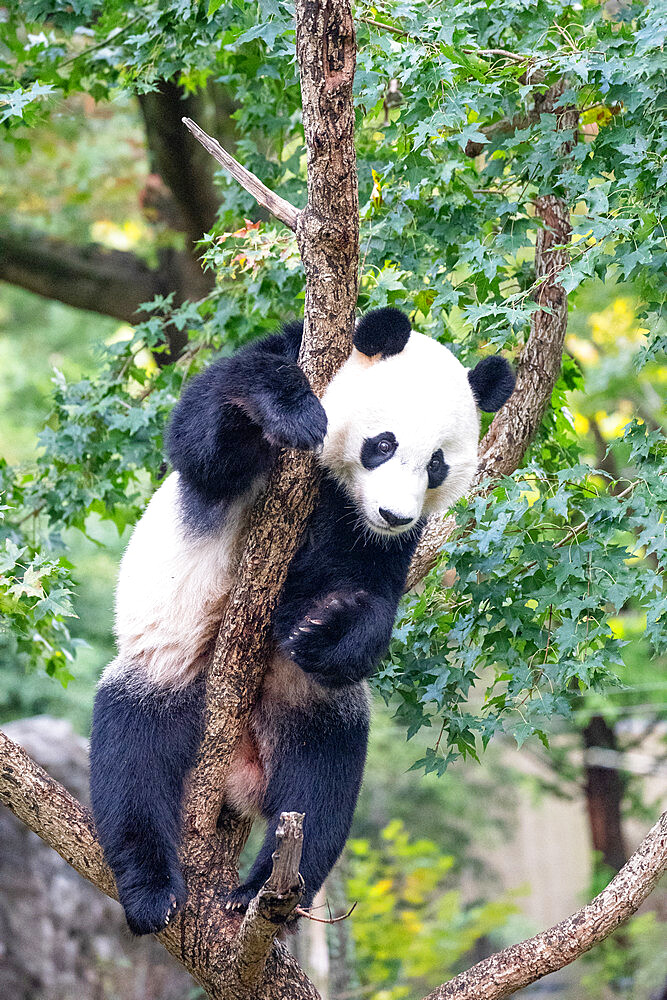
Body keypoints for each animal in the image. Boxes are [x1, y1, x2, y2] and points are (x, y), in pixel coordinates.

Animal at [90, 306, 516, 936]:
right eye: (382, 444)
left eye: (437, 465)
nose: (394, 513)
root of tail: (241, 773)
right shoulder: (288, 362)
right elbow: (205, 441)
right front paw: (290, 412)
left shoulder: (372, 537)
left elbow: (366, 590)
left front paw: (323, 629)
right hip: (166, 668)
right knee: (132, 753)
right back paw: (154, 893)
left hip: (308, 704)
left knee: (322, 784)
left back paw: (260, 892)